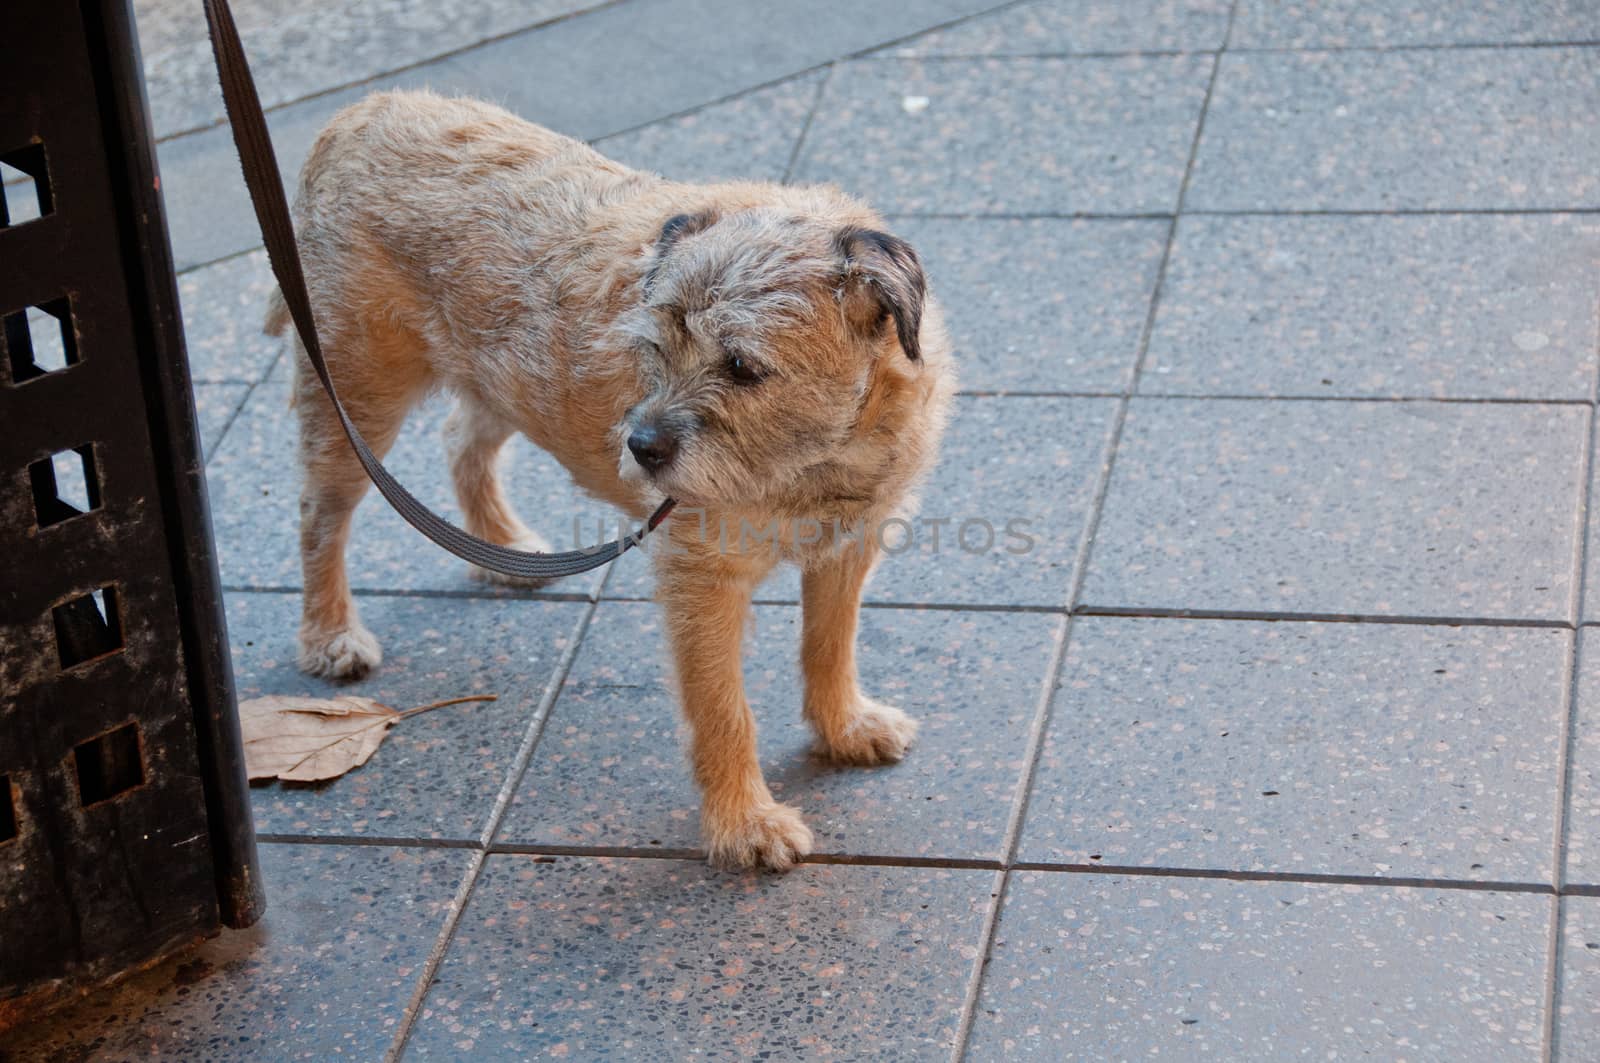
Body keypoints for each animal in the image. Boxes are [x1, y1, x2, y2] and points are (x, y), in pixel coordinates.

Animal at [268, 91, 953, 870]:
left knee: (462, 439)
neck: (815, 459)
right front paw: (745, 822)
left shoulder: (848, 547)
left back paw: (503, 547)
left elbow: (829, 643)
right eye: (655, 348)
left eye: (742, 367)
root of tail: (361, 110)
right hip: (356, 396)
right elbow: (724, 708)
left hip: (498, 377)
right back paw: (330, 634)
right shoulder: (702, 584)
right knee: (322, 513)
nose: (642, 446)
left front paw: (843, 726)